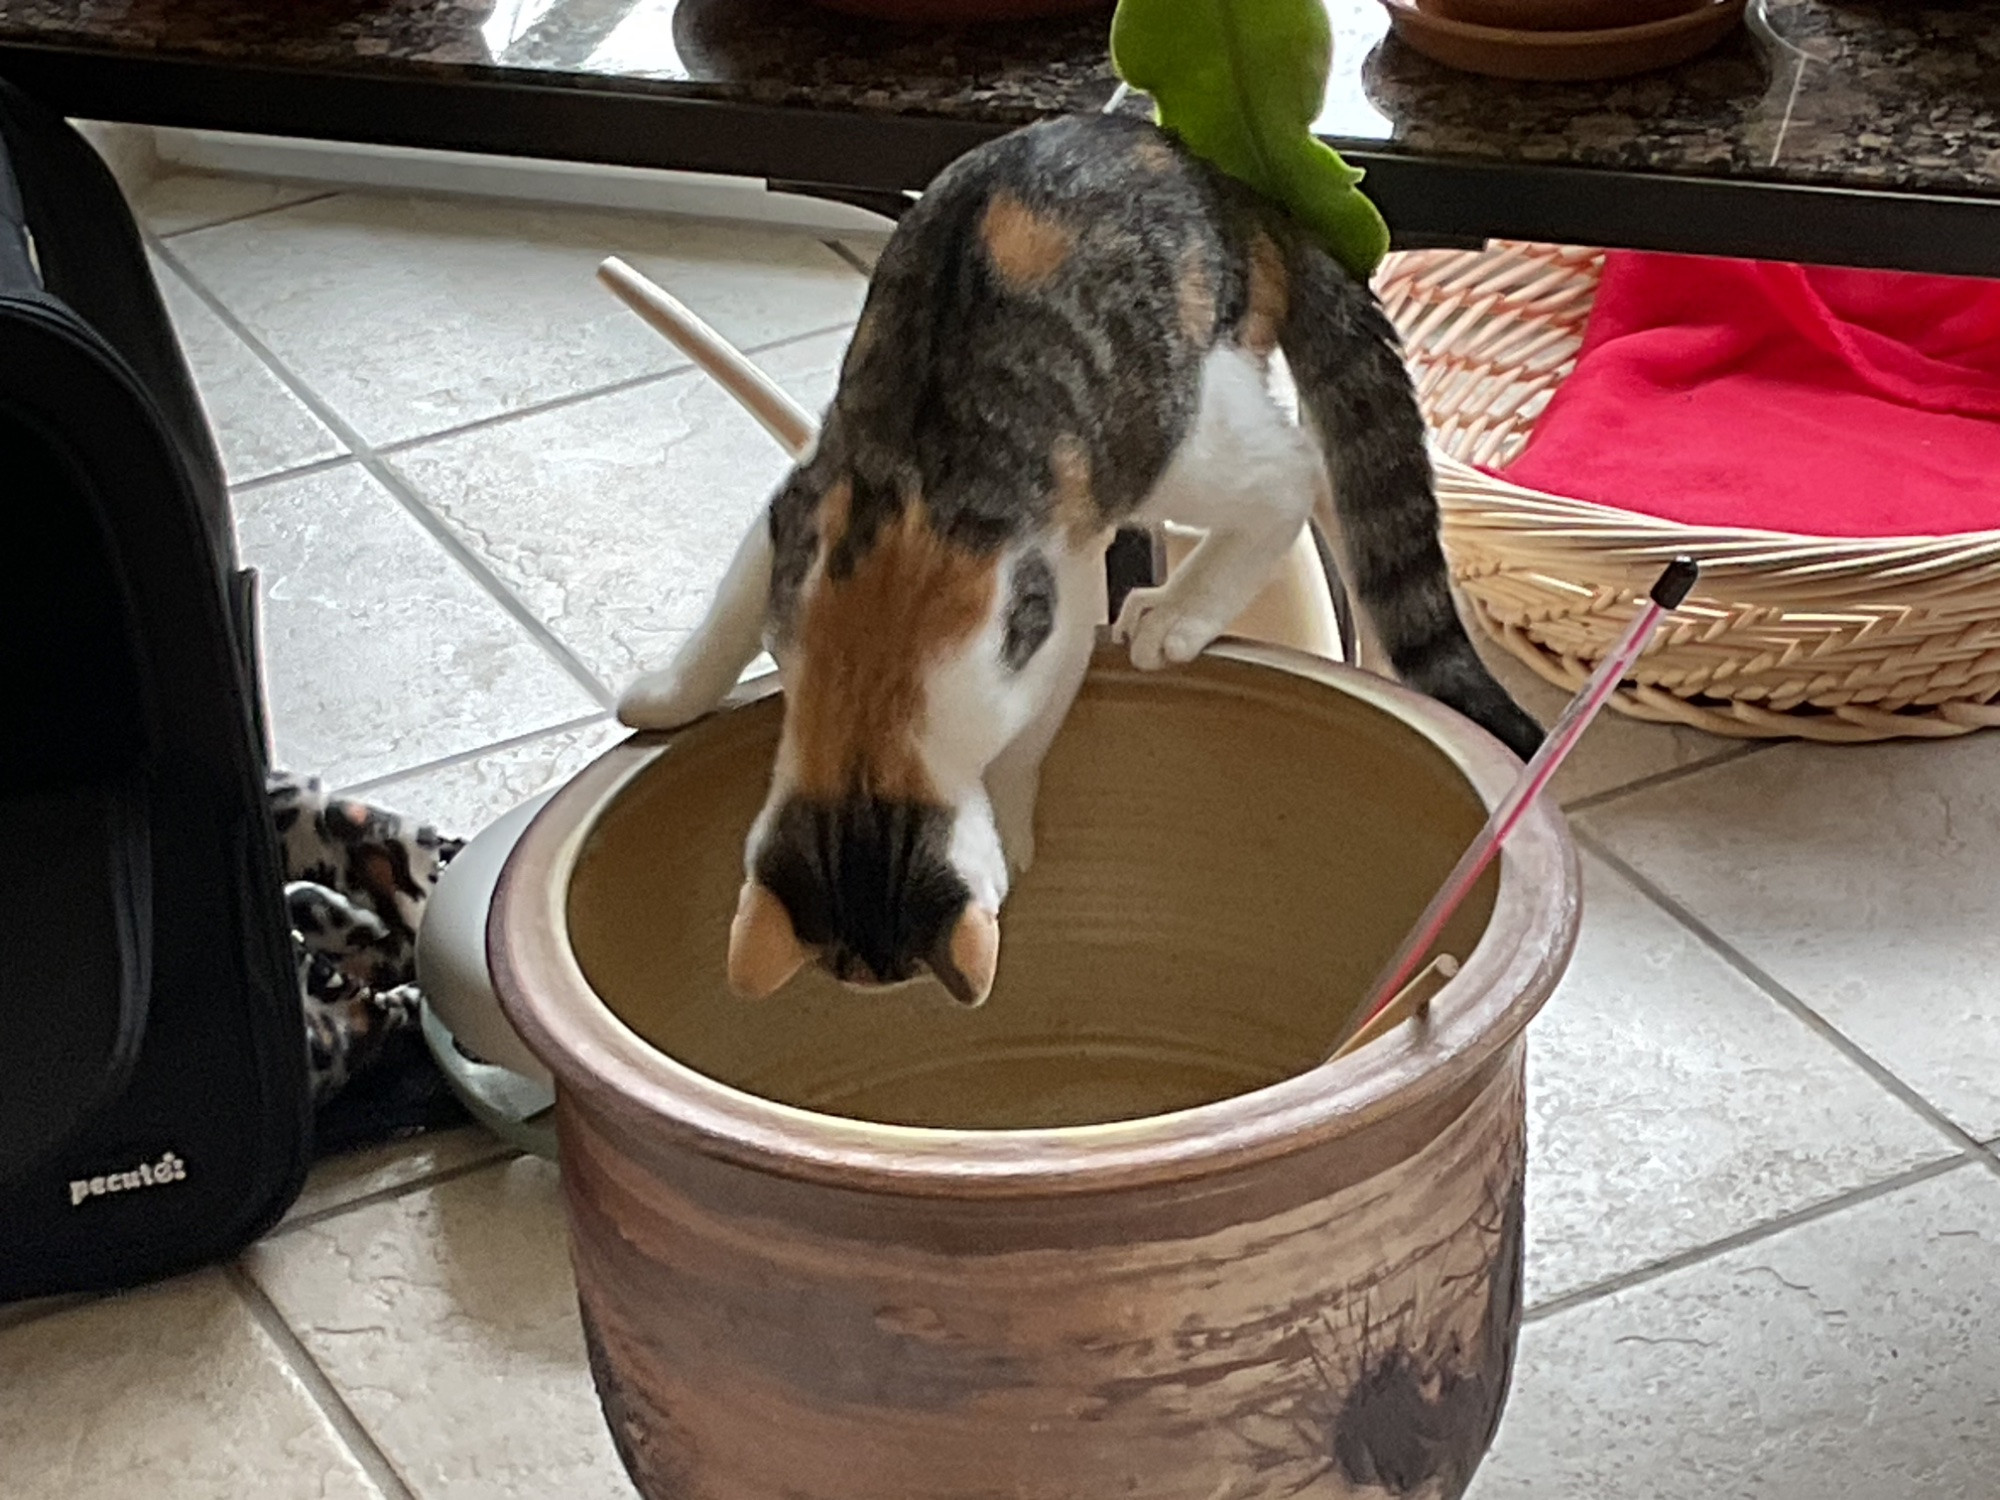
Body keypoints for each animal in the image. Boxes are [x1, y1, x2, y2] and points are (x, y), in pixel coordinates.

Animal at [618, 110, 1543, 1009]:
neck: (870, 664)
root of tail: (1224, 185)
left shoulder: (1045, 611)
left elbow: (1024, 744)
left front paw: (1012, 829)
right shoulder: (799, 510)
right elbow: (724, 623)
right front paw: (666, 699)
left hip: (1171, 435)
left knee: (1292, 476)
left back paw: (1178, 613)